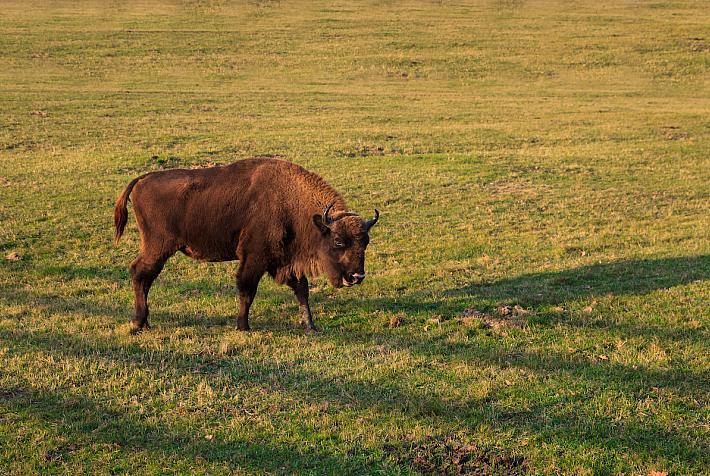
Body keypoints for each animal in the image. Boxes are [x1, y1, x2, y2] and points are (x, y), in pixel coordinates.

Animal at [114, 157, 379, 333]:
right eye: (338, 241)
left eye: (365, 242)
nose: (356, 276)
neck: (290, 201)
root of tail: (143, 179)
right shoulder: (255, 258)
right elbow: (247, 290)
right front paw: (243, 326)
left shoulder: (283, 261)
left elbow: (301, 289)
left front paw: (310, 325)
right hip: (158, 247)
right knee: (140, 273)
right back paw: (138, 323)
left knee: (143, 276)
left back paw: (144, 322)